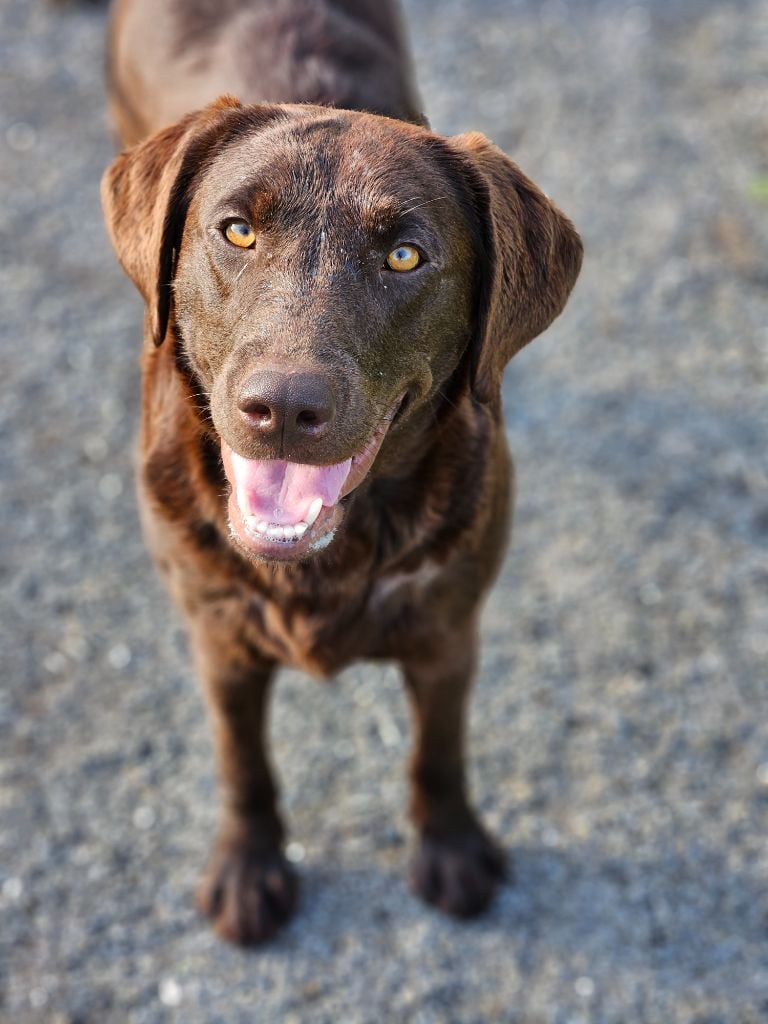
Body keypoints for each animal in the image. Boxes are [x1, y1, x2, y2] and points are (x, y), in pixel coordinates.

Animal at [102, 0, 581, 942]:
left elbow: (439, 753)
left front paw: (452, 849)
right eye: (237, 230)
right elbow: (242, 761)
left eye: (405, 256)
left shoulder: (446, 628)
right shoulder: (219, 636)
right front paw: (247, 868)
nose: (284, 407)